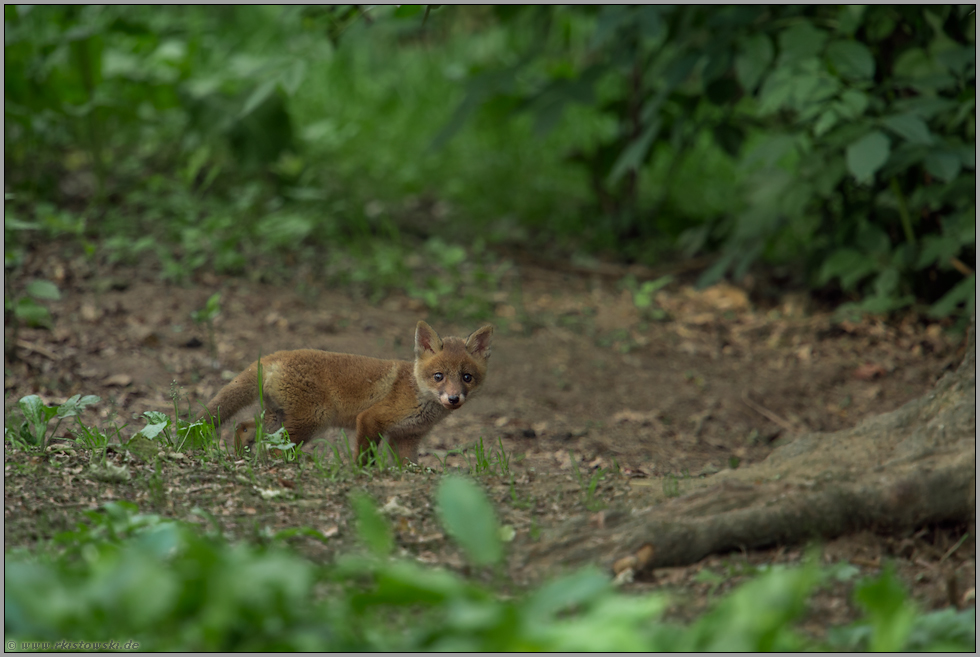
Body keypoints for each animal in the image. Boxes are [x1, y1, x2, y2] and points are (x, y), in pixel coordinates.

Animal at [200, 322, 494, 462]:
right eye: (438, 377)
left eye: (467, 378)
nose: (454, 398)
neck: (417, 394)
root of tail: (274, 356)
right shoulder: (370, 420)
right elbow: (363, 459)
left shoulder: (406, 439)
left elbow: (408, 466)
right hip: (311, 420)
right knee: (272, 449)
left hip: (278, 418)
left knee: (243, 426)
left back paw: (240, 456)